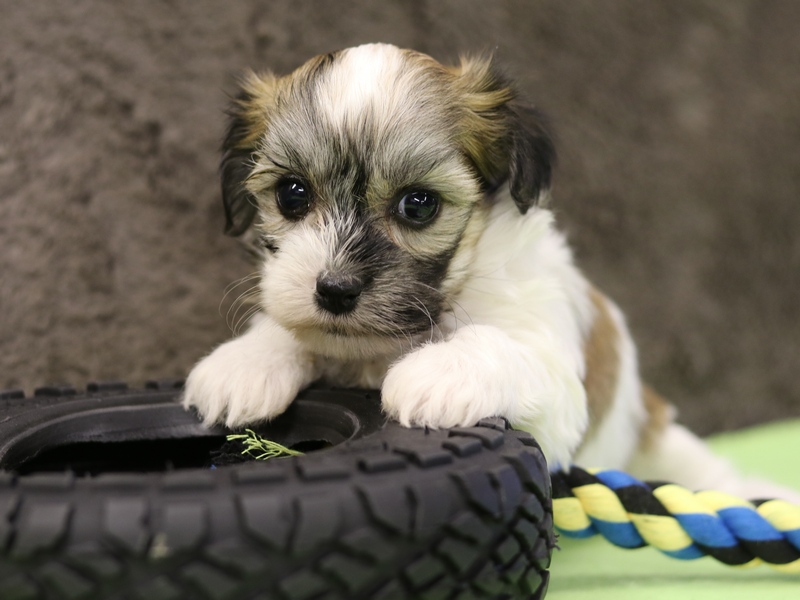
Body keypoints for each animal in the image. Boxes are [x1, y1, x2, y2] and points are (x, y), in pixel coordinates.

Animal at [183, 43, 789, 497]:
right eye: (292, 194)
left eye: (419, 204)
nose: (334, 290)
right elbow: (289, 328)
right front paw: (246, 362)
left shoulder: (555, 378)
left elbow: (497, 346)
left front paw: (437, 372)